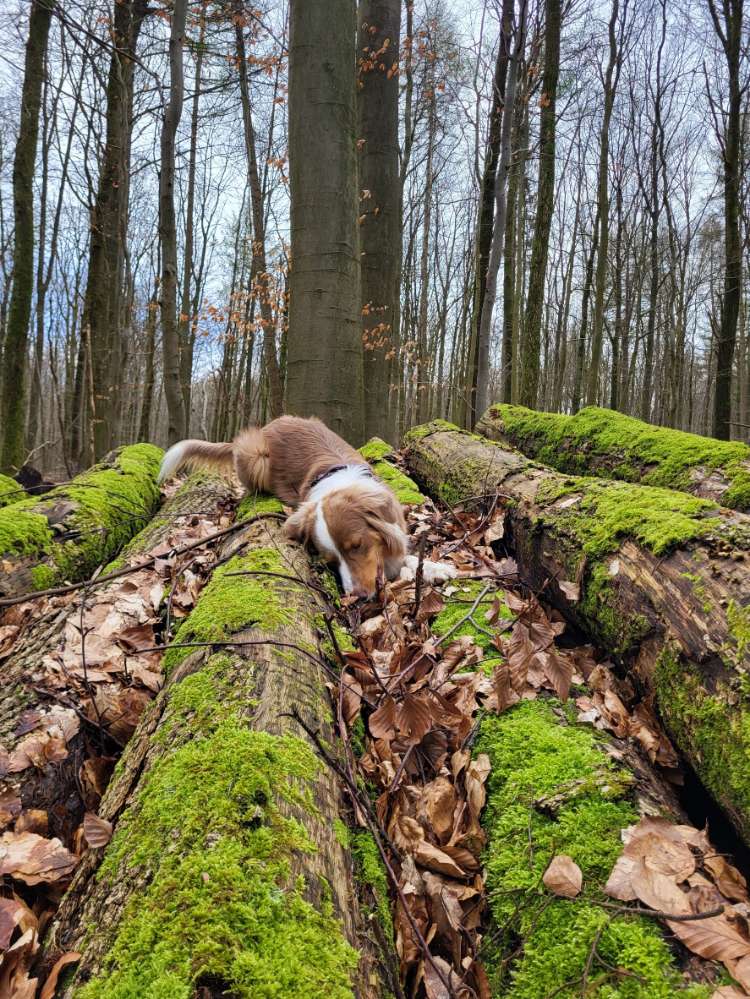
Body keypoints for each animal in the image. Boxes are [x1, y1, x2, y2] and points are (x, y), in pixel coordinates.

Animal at [158, 415, 455, 597]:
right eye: (330, 561)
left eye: (357, 546)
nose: (357, 597)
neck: (338, 481)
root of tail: (266, 427)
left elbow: (407, 556)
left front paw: (436, 568)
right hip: (257, 458)